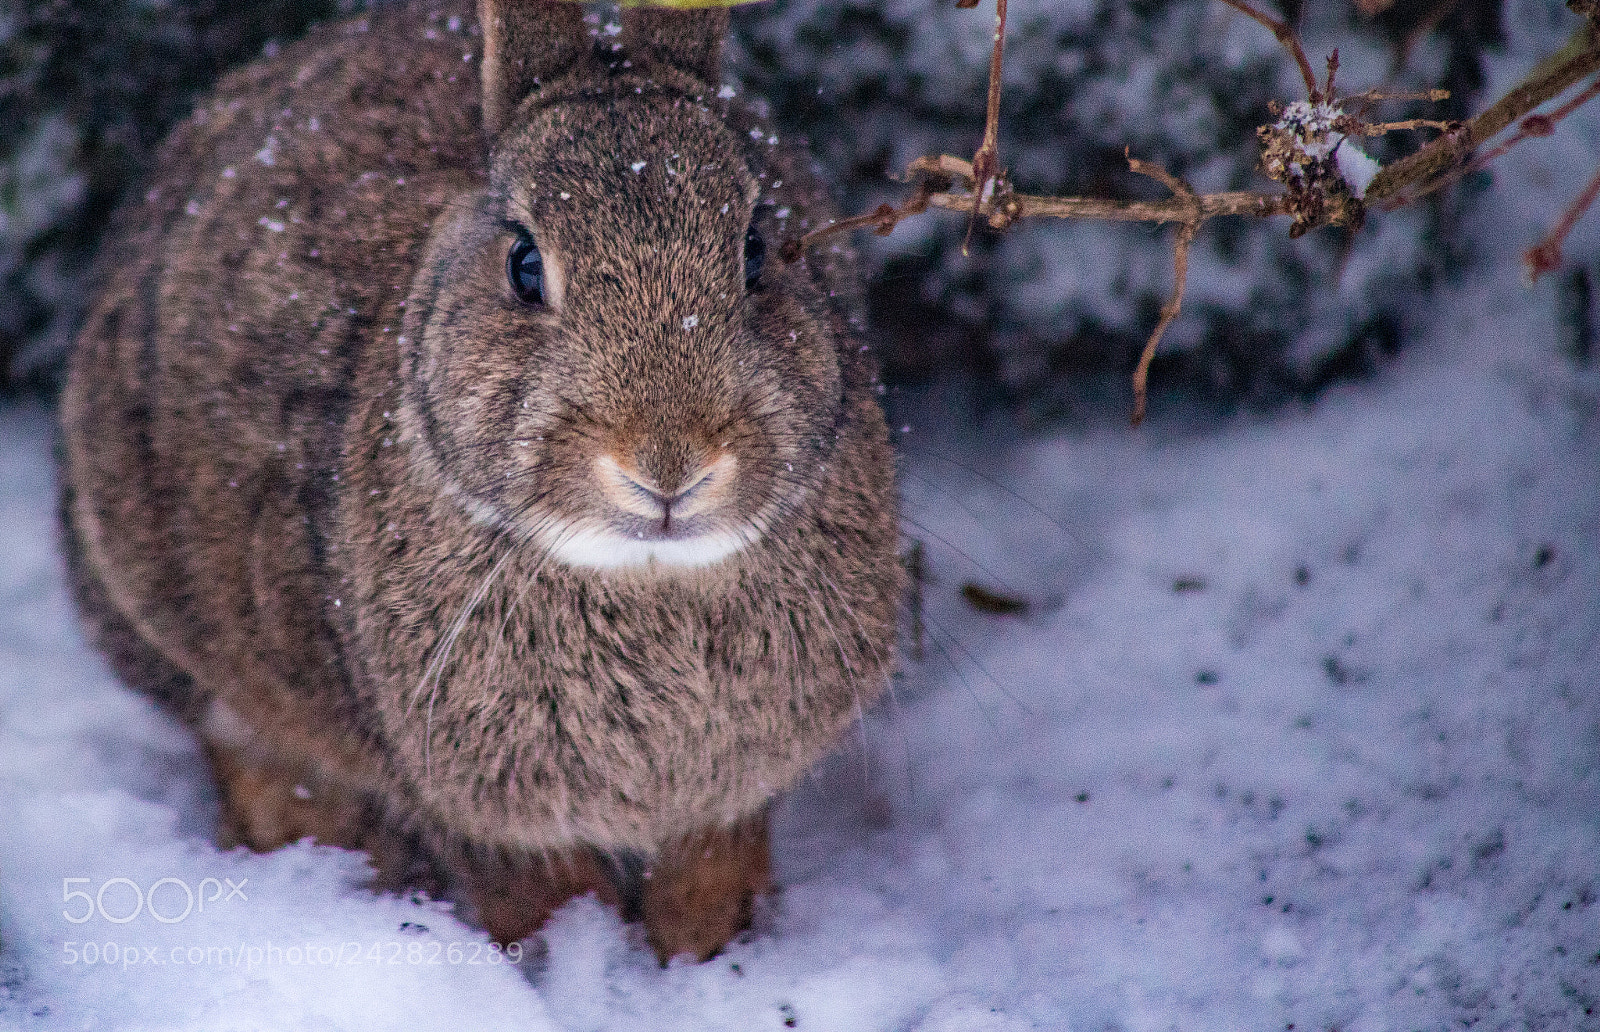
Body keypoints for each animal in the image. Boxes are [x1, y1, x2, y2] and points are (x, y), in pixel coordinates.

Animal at [58, 0, 903, 963]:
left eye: (758, 250)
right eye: (525, 266)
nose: (668, 464)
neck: (648, 576)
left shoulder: (726, 802)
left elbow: (707, 877)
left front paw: (701, 958)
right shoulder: (482, 808)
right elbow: (542, 894)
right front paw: (580, 962)